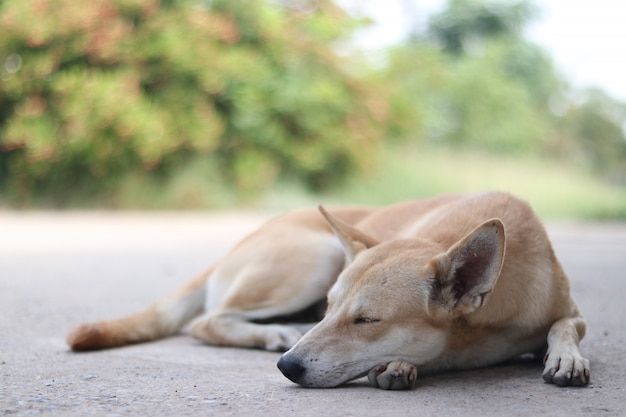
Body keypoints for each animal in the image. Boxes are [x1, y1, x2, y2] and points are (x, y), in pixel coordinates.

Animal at [67, 191, 584, 386]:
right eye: (329, 309)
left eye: (366, 320)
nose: (286, 367)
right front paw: (399, 364)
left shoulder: (567, 310)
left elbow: (564, 327)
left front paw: (566, 357)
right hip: (316, 260)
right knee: (206, 321)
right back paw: (272, 332)